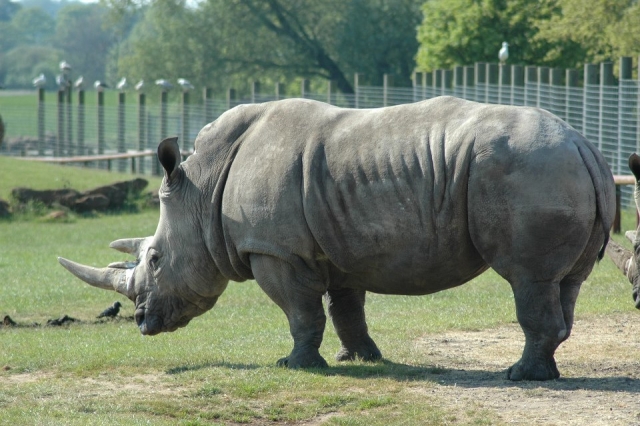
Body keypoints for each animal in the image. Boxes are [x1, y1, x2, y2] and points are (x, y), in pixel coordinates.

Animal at [59, 96, 615, 381]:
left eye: (155, 259)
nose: (140, 321)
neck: (203, 187)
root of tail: (584, 144)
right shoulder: (341, 242)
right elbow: (346, 306)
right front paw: (362, 359)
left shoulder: (275, 250)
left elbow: (300, 311)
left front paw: (296, 366)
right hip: (555, 168)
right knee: (566, 282)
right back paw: (541, 370)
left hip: (529, 169)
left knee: (527, 278)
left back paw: (518, 375)